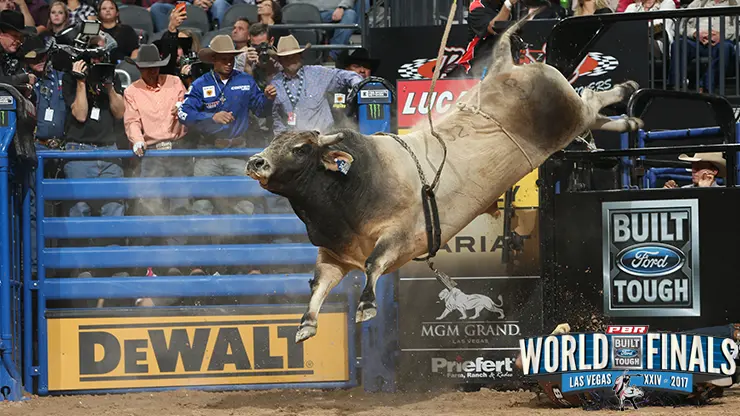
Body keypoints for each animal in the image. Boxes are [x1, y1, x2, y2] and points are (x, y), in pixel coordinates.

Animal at [245, 13, 644, 343]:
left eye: (300, 149)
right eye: (275, 142)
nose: (256, 162)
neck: (353, 187)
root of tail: (505, 67)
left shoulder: (402, 237)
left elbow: (373, 265)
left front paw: (366, 306)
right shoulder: (334, 255)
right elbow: (317, 286)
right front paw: (305, 325)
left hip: (570, 112)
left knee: (591, 98)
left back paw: (626, 91)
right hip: (571, 119)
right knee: (597, 114)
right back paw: (630, 120)